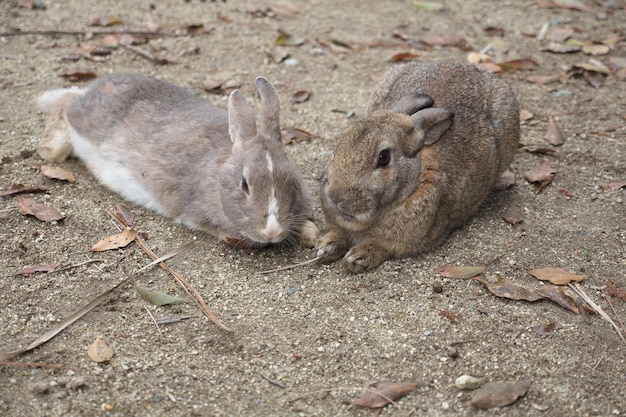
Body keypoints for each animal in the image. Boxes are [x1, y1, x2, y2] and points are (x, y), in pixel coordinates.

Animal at [36, 74, 316, 247]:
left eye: (292, 181)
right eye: (244, 184)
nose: (271, 231)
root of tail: (91, 89)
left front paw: (312, 234)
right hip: (85, 119)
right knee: (65, 101)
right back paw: (50, 149)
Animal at [316, 60, 516, 272]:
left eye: (384, 157)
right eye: (340, 142)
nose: (335, 197)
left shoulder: (405, 242)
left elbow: (382, 247)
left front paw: (357, 258)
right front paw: (326, 247)